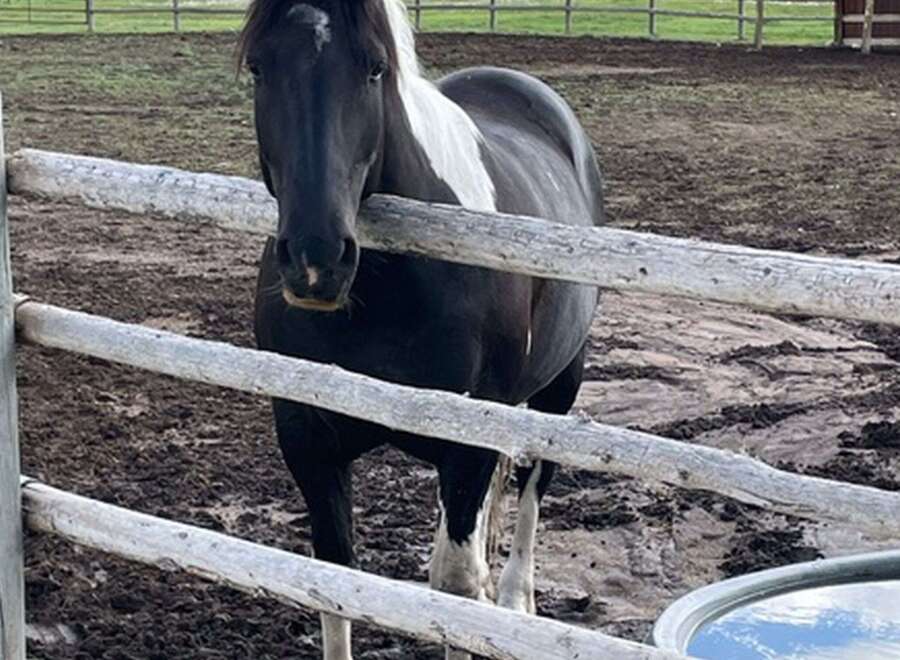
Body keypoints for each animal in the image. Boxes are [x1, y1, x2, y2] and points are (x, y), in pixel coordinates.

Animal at [238, 1, 604, 657]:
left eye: (374, 67)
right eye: (259, 66)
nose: (315, 261)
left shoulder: (469, 443)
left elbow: (453, 589)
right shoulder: (307, 438)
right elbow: (335, 576)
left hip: (560, 387)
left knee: (532, 490)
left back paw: (515, 601)